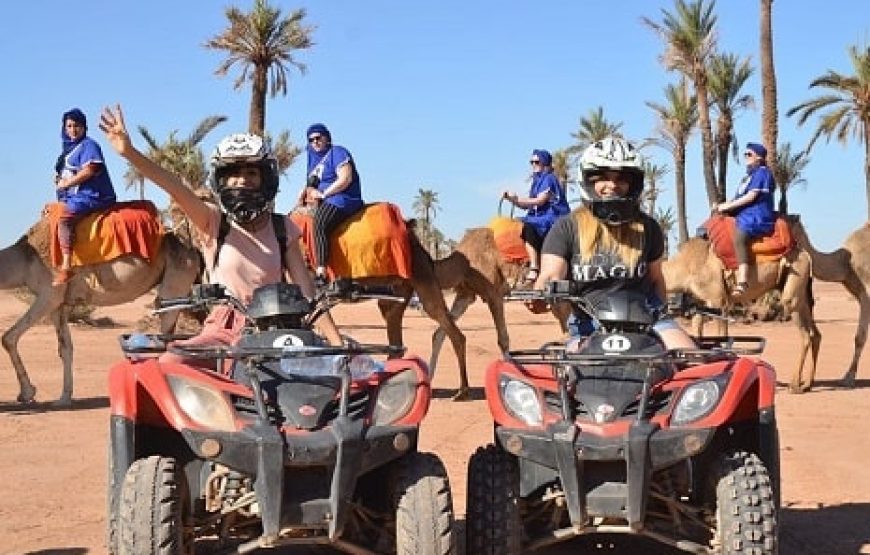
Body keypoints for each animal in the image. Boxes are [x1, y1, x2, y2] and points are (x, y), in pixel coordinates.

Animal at [2, 219, 203, 406]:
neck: (24, 261)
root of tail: (193, 250)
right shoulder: (59, 303)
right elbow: (65, 348)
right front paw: (64, 398)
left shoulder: (49, 294)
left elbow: (8, 338)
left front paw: (27, 393)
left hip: (176, 281)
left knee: (167, 336)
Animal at [664, 218, 820, 396]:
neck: (685, 266)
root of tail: (805, 254)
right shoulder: (700, 302)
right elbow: (697, 331)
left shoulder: (718, 300)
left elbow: (722, 336)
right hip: (800, 291)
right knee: (815, 333)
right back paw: (808, 383)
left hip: (795, 281)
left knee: (805, 332)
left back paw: (795, 385)